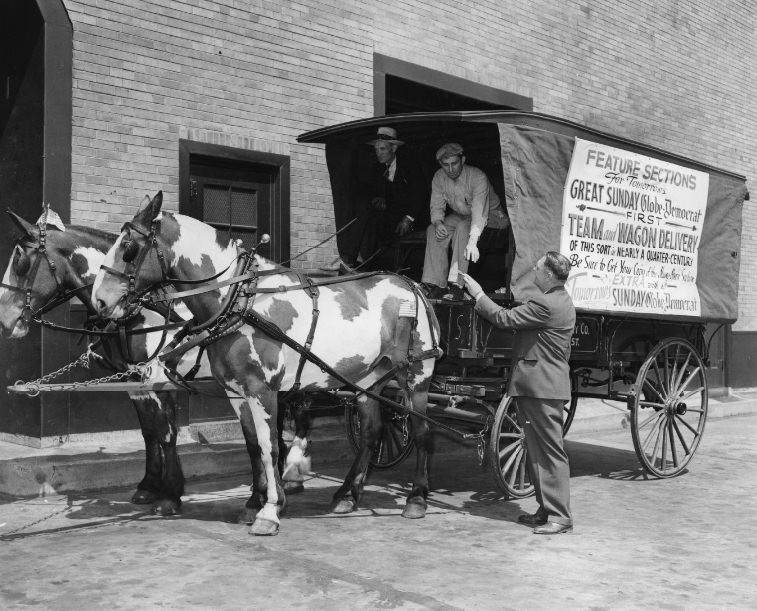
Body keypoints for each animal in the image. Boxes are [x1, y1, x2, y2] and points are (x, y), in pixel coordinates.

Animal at [0, 208, 312, 520]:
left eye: (21, 261)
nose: (5, 321)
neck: (138, 310)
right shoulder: (134, 381)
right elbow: (149, 432)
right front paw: (148, 487)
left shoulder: (159, 379)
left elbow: (166, 433)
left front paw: (170, 495)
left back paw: (293, 473)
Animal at [91, 191, 440, 536]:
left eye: (129, 248)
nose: (100, 300)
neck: (240, 299)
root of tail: (412, 285)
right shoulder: (236, 391)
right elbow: (252, 445)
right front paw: (254, 503)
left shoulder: (263, 389)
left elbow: (270, 445)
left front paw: (270, 510)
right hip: (369, 379)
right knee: (370, 432)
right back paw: (347, 496)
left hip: (417, 375)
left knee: (422, 431)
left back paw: (417, 498)